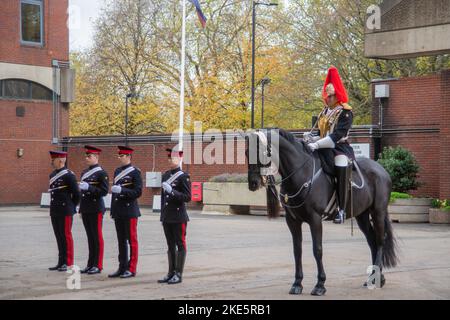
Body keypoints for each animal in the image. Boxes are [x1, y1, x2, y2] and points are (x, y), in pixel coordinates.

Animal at [246, 127, 398, 296]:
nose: (253, 183)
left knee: (380, 241)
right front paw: (297, 283)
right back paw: (375, 277)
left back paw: (375, 278)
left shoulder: (315, 219)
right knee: (372, 241)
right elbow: (297, 250)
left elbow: (317, 250)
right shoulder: (292, 221)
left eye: (261, 152)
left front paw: (320, 285)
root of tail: (381, 169)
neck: (300, 173)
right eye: (246, 152)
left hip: (378, 212)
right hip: (362, 215)